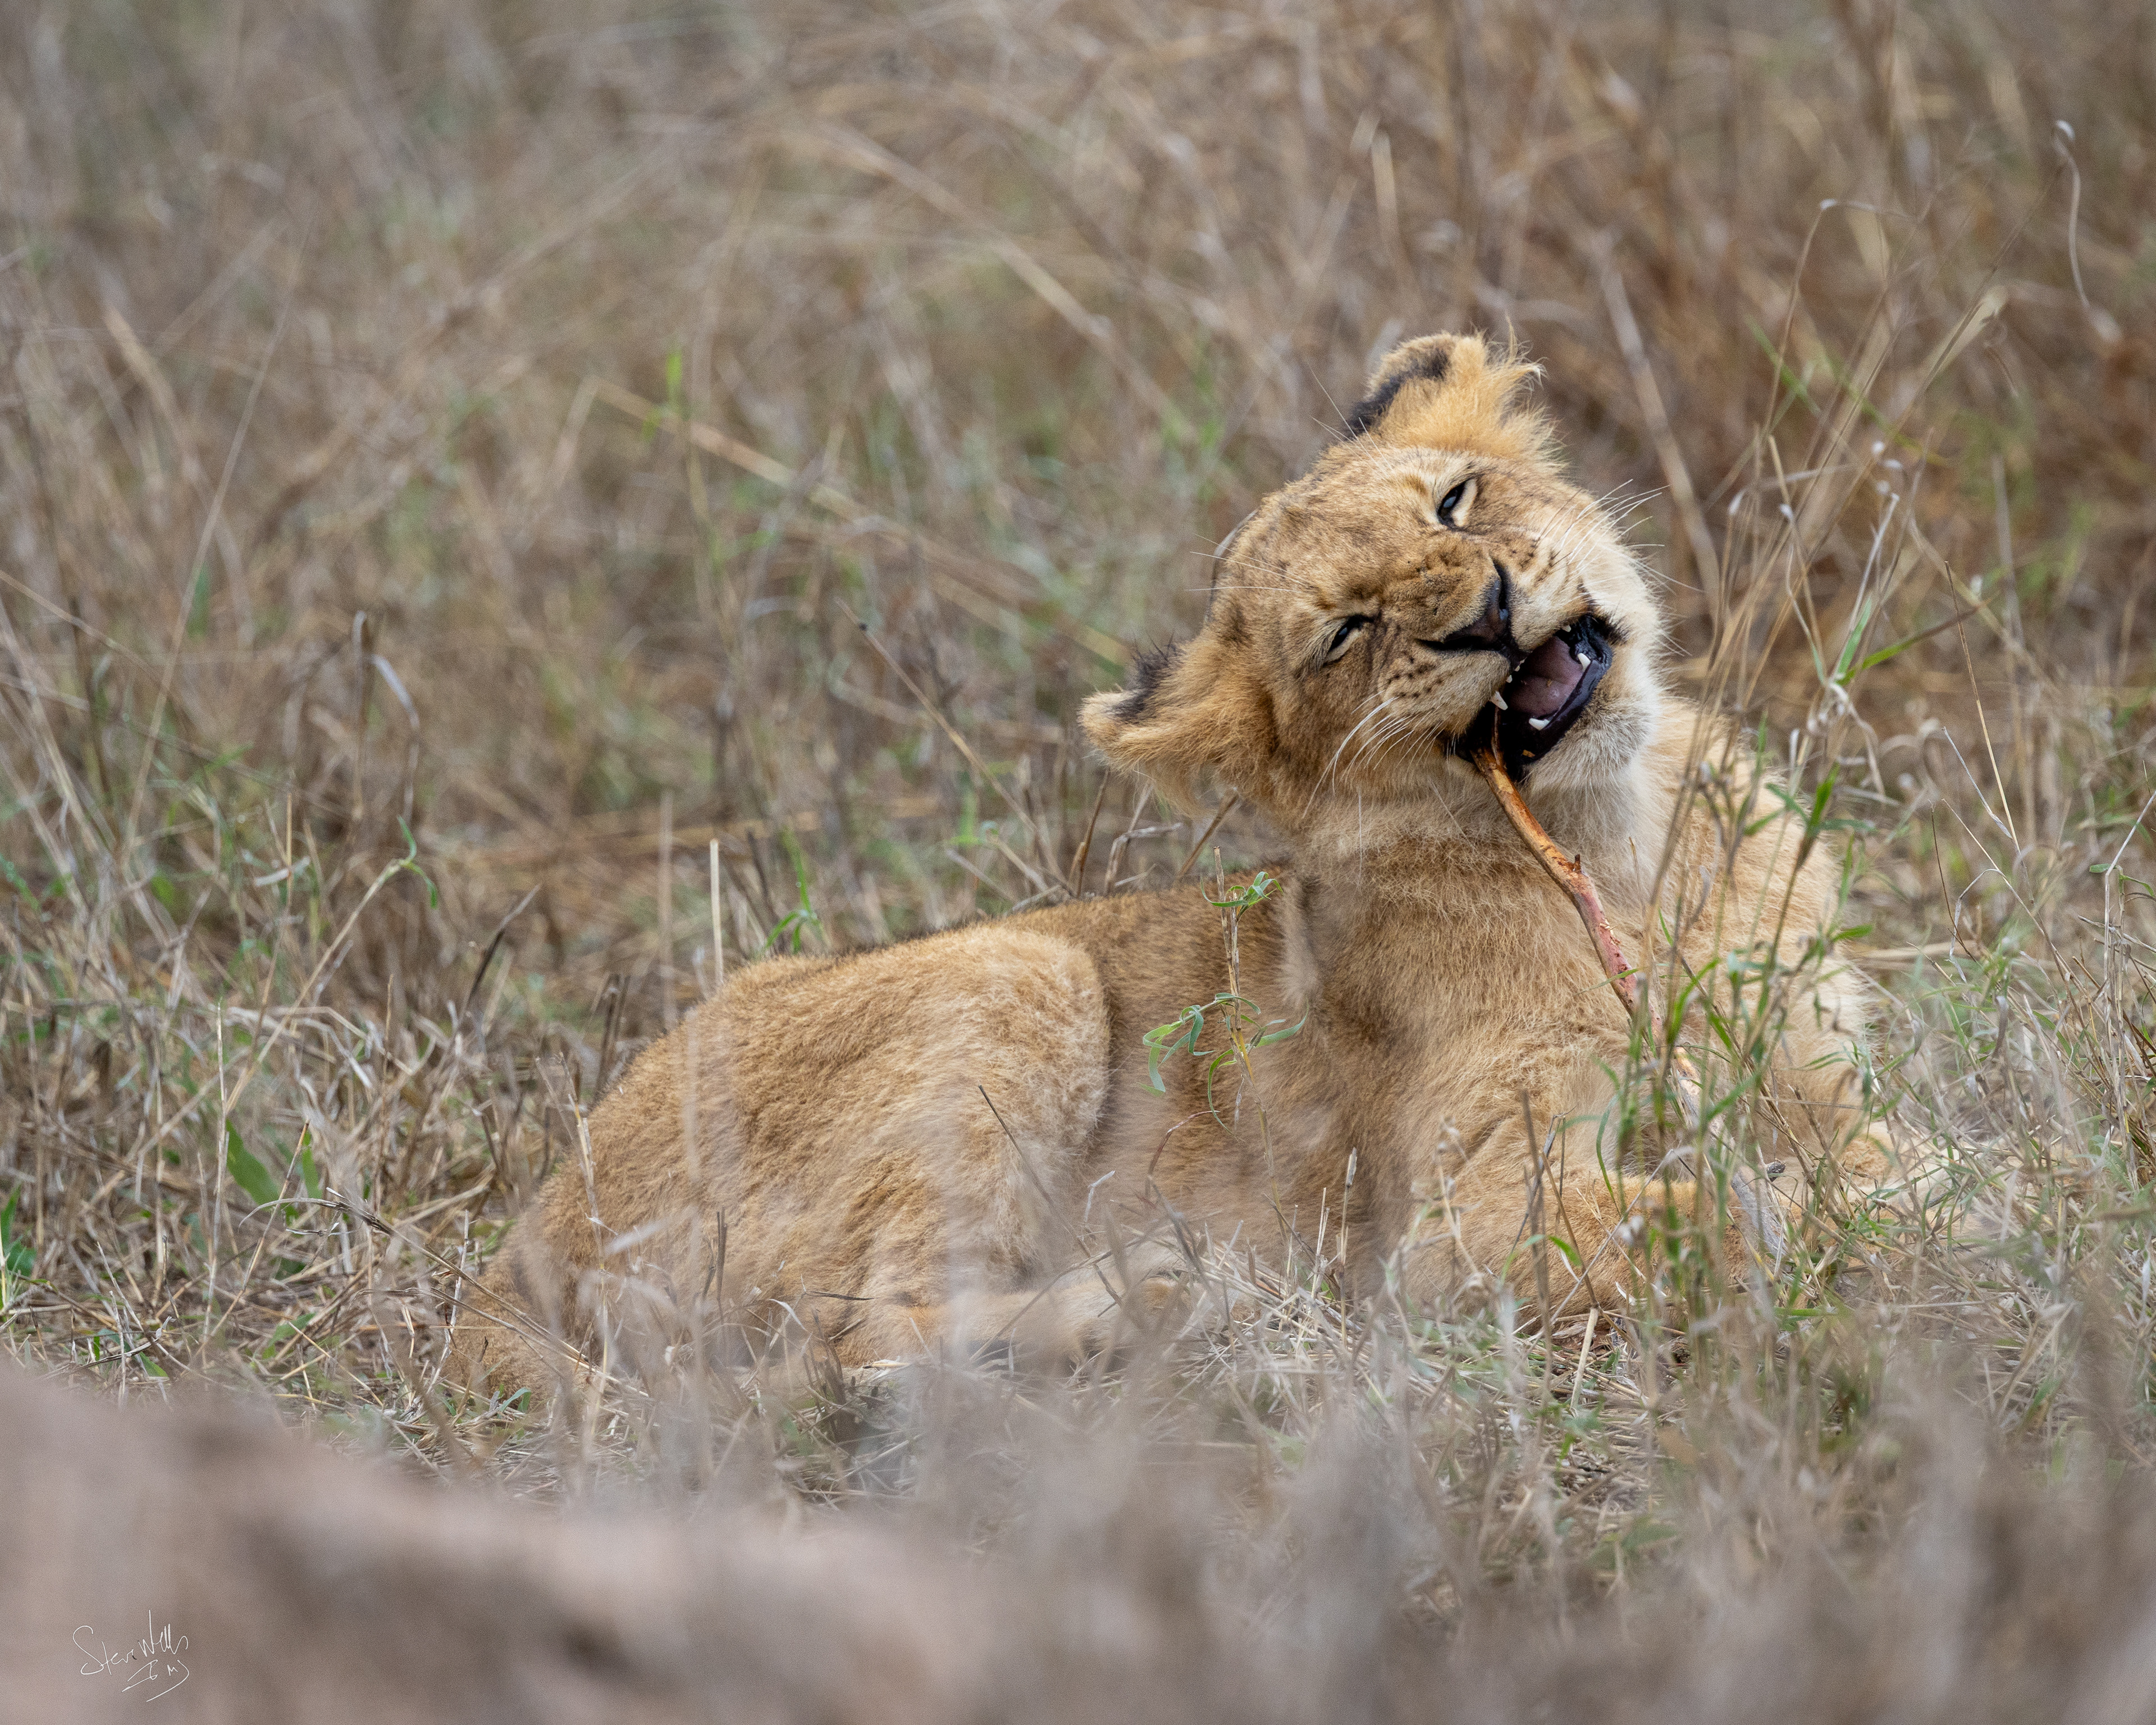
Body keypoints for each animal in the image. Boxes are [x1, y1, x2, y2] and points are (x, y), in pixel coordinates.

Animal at [447, 333, 1883, 1398]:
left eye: (1455, 499)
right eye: (1347, 633)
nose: (1479, 611)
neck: (1623, 842)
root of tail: (516, 1250)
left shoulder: (1809, 1069)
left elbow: (1862, 1149)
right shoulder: (1458, 1221)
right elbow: (1716, 1212)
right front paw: (1851, 1226)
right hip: (1021, 973)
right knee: (844, 1337)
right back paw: (1154, 1304)